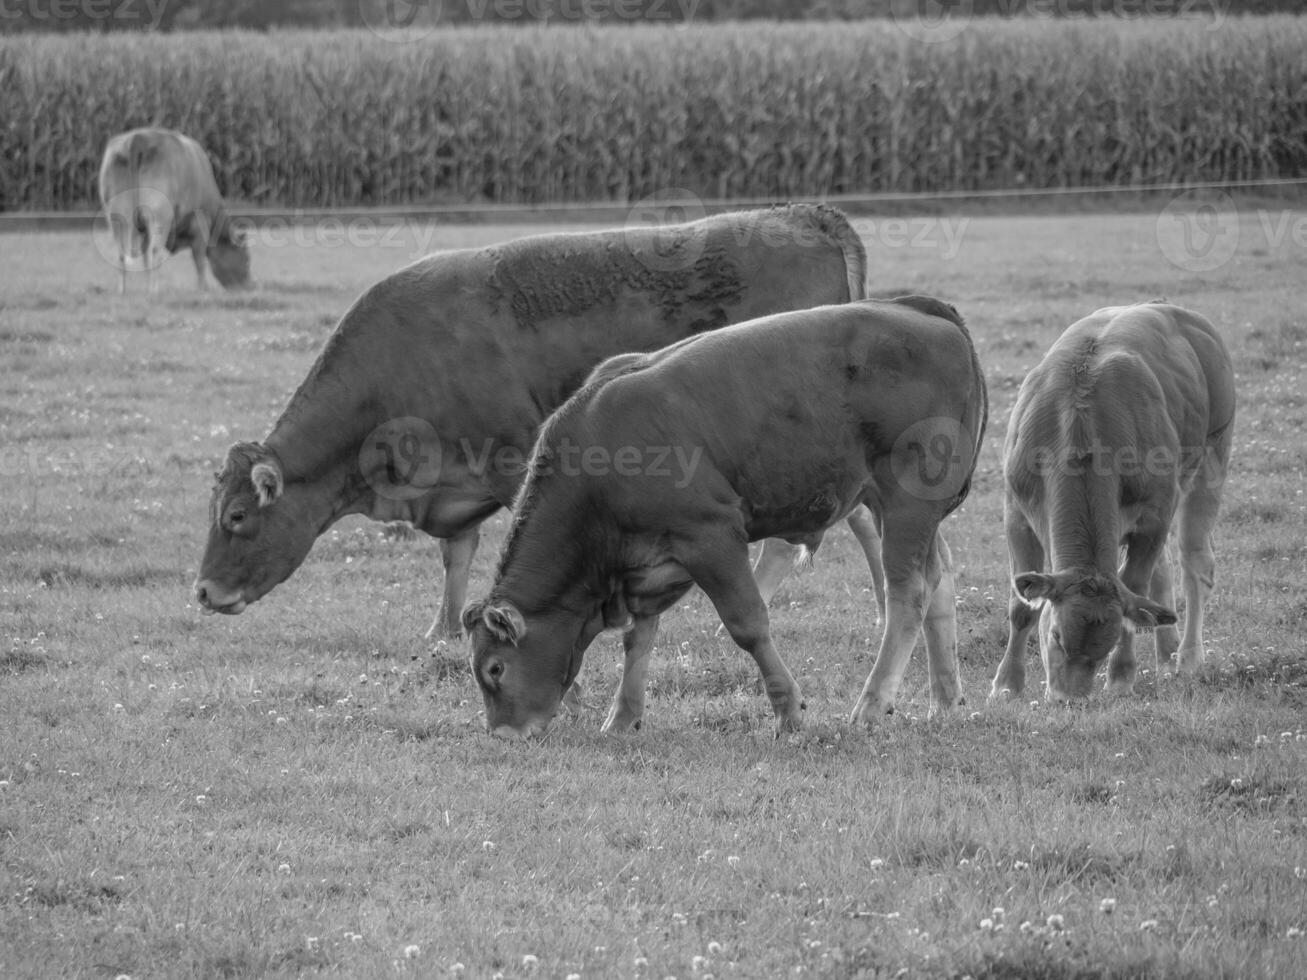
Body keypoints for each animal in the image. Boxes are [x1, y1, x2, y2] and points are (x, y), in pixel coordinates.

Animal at [96, 125, 249, 291]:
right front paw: (203, 287)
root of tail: (137, 138)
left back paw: (123, 290)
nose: (249, 284)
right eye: (247, 259)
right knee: (154, 250)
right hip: (159, 215)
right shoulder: (199, 225)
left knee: (122, 253)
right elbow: (199, 259)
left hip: (117, 216)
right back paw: (155, 289)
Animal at [193, 206, 883, 637]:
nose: (201, 592)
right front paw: (440, 629)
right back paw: (882, 607)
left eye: (236, 518)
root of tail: (801, 214)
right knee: (867, 520)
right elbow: (456, 555)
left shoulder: (510, 459)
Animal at [465, 295, 982, 742]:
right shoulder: (645, 566)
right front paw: (624, 716)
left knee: (908, 593)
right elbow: (638, 637)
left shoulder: (711, 538)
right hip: (893, 505)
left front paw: (789, 713)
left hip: (907, 501)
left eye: (495, 668)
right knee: (940, 576)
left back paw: (872, 704)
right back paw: (945, 700)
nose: (503, 734)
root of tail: (914, 307)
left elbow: (748, 625)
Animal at [988, 303, 1233, 700]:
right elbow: (1021, 607)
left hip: (1213, 455)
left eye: (1107, 645)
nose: (1069, 701)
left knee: (1195, 563)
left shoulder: (1155, 516)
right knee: (1163, 576)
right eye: (1055, 635)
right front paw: (1006, 685)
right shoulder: (1016, 514)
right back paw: (1166, 654)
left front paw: (1121, 676)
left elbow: (1134, 586)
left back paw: (1188, 657)